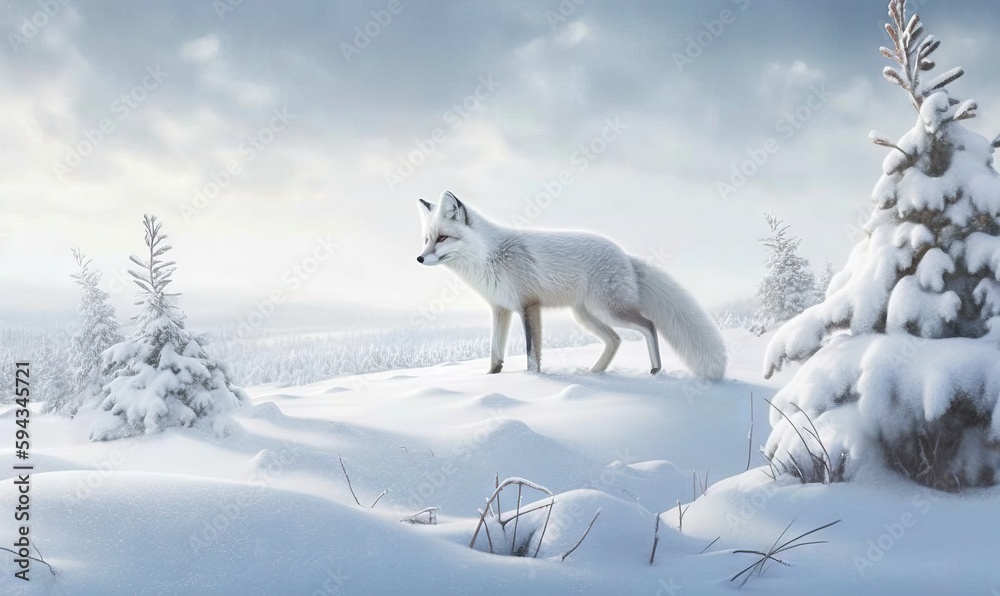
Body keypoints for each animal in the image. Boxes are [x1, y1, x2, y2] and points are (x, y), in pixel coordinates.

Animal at [414, 193, 728, 380]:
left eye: (443, 238)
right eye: (427, 239)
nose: (419, 258)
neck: (490, 257)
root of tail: (625, 255)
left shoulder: (528, 305)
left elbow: (532, 355)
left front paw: (533, 381)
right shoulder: (500, 309)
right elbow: (495, 353)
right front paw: (491, 379)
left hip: (608, 310)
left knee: (649, 325)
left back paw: (655, 369)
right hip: (586, 316)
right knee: (615, 340)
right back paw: (595, 373)